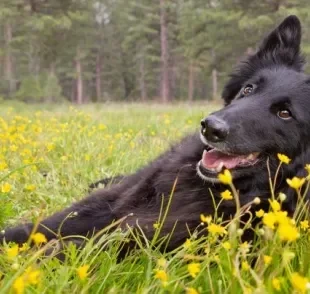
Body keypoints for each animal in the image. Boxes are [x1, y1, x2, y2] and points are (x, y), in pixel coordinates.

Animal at [1, 14, 308, 252]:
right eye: (248, 89)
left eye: (285, 113)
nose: (209, 127)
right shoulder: (110, 204)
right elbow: (45, 226)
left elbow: (85, 247)